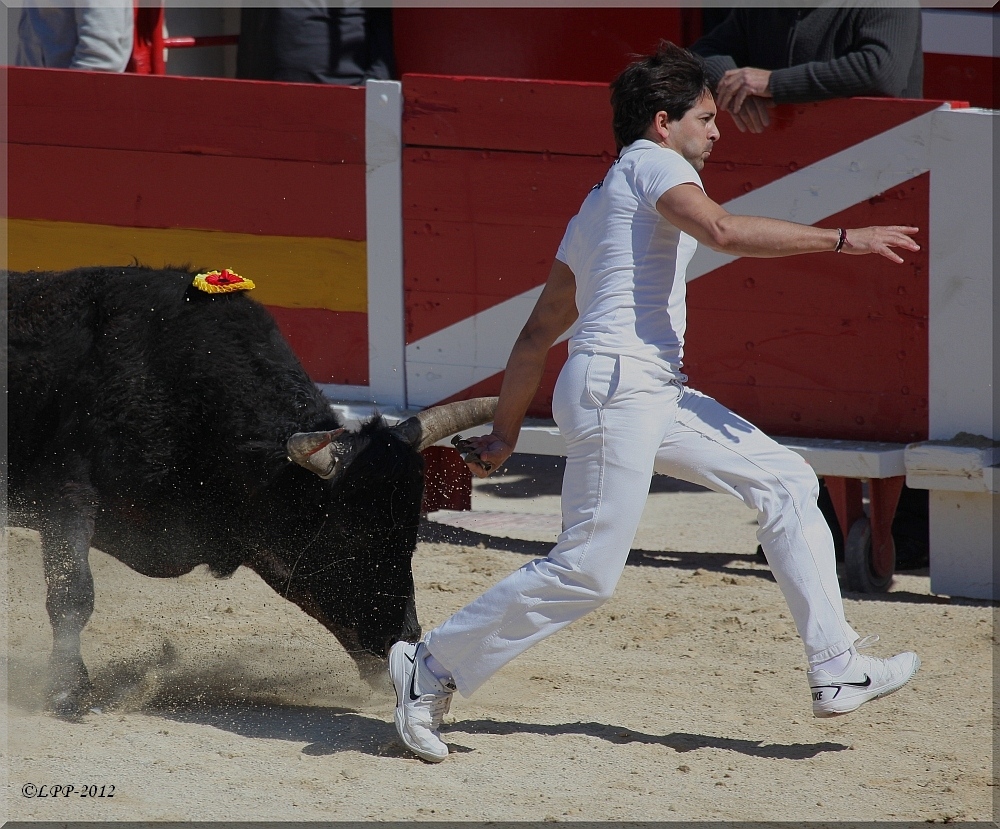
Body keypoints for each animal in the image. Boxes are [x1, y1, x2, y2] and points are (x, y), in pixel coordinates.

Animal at [2, 266, 496, 720]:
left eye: (412, 534)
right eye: (350, 534)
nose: (403, 637)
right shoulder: (67, 495)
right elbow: (72, 592)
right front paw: (67, 691)